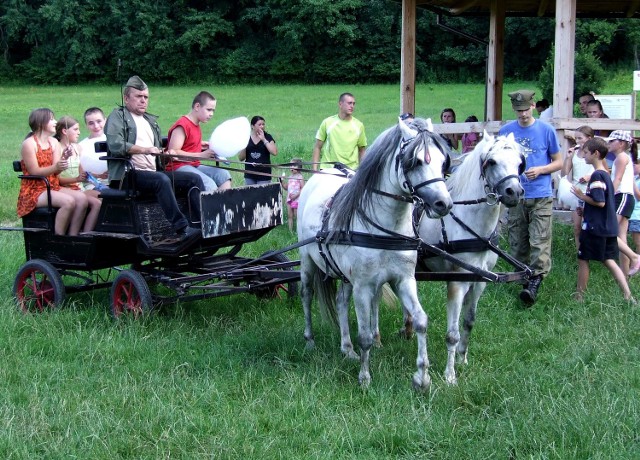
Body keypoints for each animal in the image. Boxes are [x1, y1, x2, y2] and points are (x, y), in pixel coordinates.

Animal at [298, 117, 452, 390]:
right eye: (415, 161)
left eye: (443, 161)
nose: (443, 204)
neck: (386, 228)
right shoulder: (363, 286)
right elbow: (365, 336)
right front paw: (364, 378)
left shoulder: (404, 280)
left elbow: (420, 320)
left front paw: (422, 377)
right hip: (308, 263)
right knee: (306, 295)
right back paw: (310, 341)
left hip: (345, 276)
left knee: (341, 302)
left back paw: (347, 348)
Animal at [416, 132, 524, 384]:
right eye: (491, 162)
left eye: (519, 162)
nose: (514, 192)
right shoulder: (457, 282)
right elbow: (452, 334)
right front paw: (449, 376)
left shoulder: (480, 281)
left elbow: (469, 321)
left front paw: (462, 359)